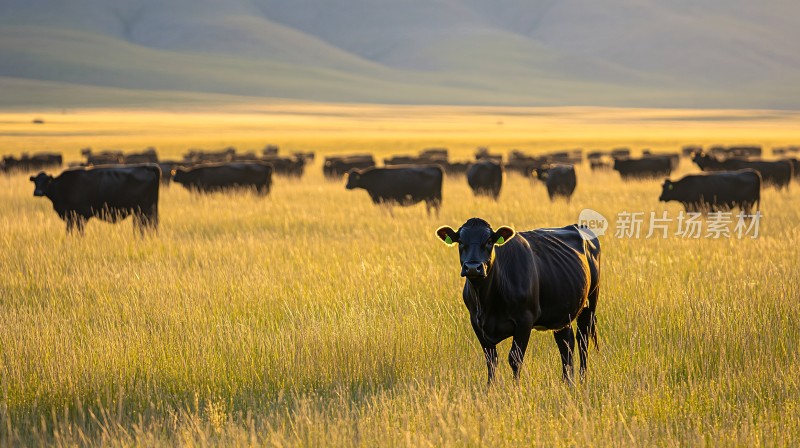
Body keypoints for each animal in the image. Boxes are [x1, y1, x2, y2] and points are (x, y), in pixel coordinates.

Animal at [28, 164, 159, 234]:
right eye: (35, 181)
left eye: (46, 181)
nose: (37, 192)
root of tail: (147, 166)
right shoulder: (71, 217)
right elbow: (69, 230)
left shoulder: (80, 215)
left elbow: (79, 231)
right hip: (141, 211)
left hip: (144, 210)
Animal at [438, 219, 600, 384]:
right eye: (460, 241)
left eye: (489, 241)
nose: (472, 267)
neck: (486, 302)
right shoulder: (476, 322)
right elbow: (491, 360)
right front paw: (490, 387)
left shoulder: (525, 320)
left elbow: (515, 359)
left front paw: (515, 387)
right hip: (562, 313)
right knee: (566, 343)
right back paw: (567, 381)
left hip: (590, 302)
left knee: (582, 340)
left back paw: (582, 379)